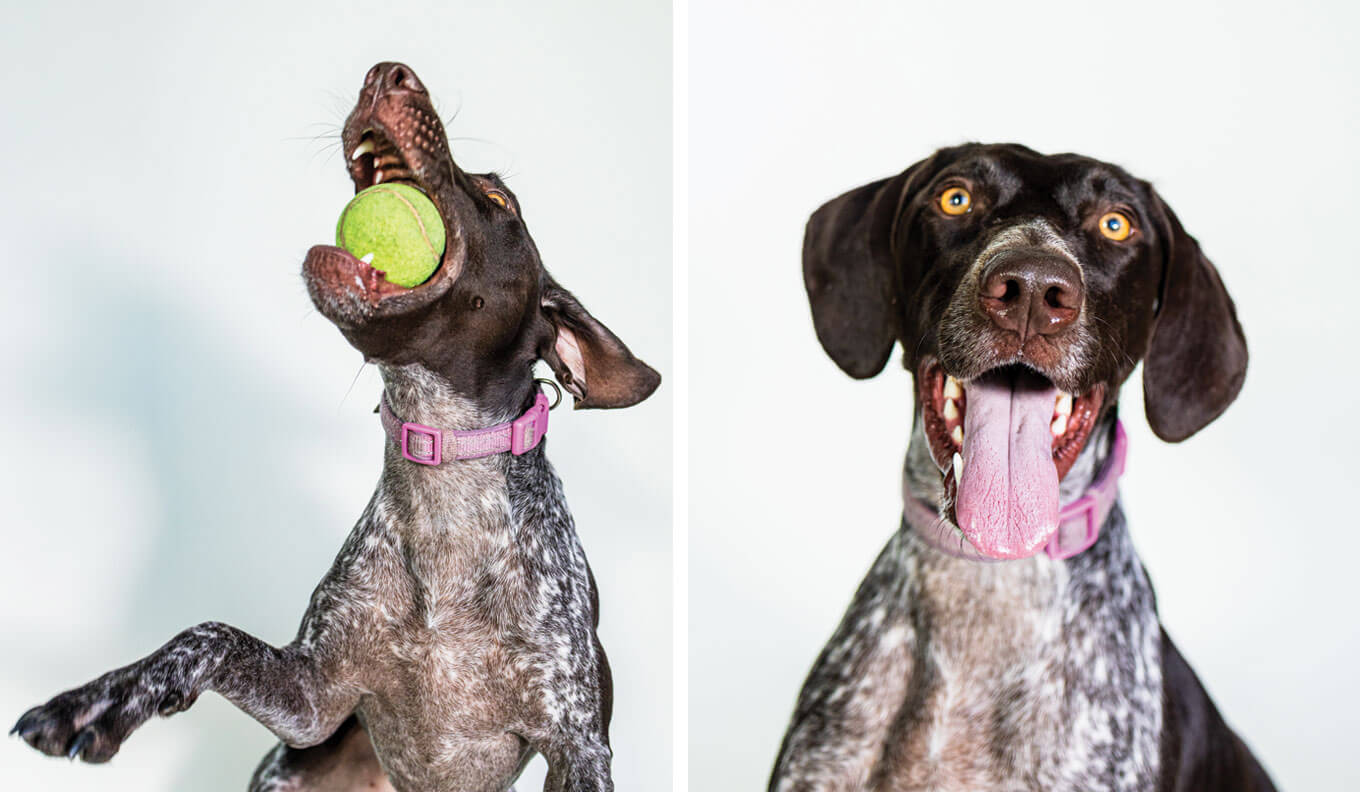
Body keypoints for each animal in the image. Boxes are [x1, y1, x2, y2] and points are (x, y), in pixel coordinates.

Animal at [10, 61, 658, 792]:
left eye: (500, 198)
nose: (389, 72)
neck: (445, 489)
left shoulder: (577, 743)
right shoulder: (313, 702)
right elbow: (207, 634)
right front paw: (105, 696)